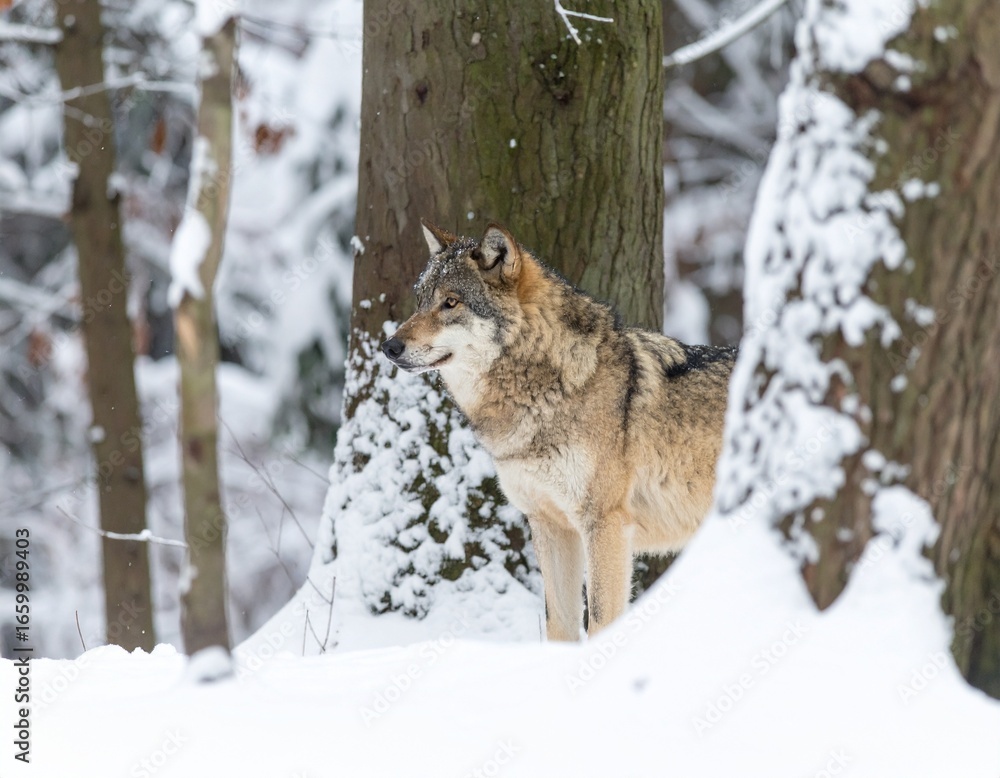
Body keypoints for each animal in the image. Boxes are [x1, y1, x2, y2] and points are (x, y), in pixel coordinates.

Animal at [381, 221, 735, 640]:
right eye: (421, 301)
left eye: (451, 303)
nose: (389, 346)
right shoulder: (549, 525)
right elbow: (560, 624)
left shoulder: (604, 524)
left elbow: (599, 620)